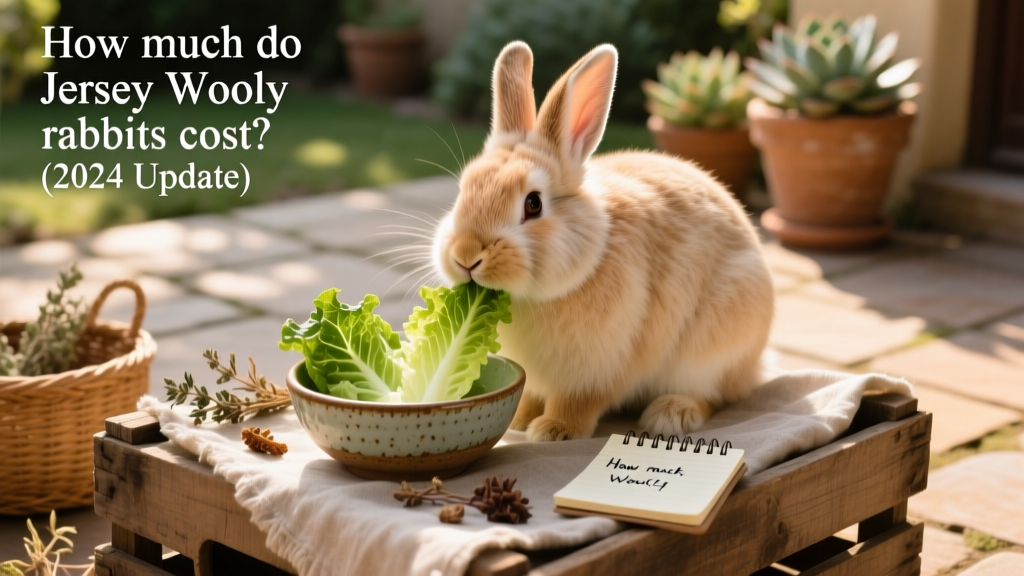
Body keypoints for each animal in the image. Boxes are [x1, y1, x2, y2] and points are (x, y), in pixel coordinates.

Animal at [431, 41, 775, 442]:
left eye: (533, 204)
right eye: (462, 190)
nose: (466, 255)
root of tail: (756, 365)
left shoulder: (598, 370)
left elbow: (579, 402)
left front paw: (553, 431)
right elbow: (529, 393)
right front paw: (520, 421)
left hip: (713, 349)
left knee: (715, 395)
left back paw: (671, 415)